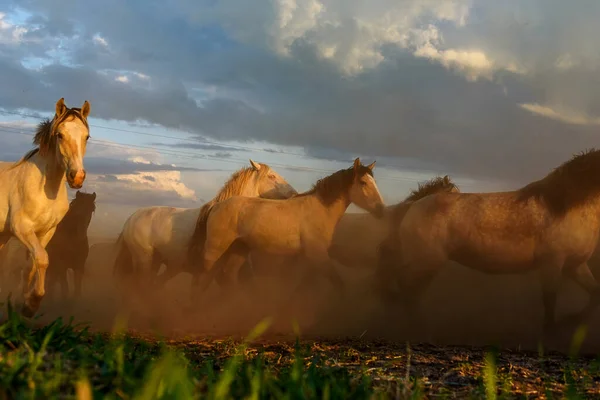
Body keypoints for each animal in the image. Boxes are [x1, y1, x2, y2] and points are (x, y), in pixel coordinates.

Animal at [0, 97, 91, 316]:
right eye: (60, 135)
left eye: (87, 137)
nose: (77, 177)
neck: (45, 189)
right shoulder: (22, 229)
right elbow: (42, 259)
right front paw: (32, 303)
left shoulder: (46, 232)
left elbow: (31, 267)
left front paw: (24, 304)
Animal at [190, 156, 386, 304]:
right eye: (363, 182)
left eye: (374, 182)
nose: (381, 209)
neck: (320, 209)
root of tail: (216, 205)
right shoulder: (318, 256)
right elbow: (338, 283)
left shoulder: (309, 260)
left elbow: (303, 287)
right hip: (214, 250)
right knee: (201, 278)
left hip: (240, 250)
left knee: (228, 276)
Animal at [380, 148, 600, 336]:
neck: (565, 206)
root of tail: (413, 205)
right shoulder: (552, 263)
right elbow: (550, 300)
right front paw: (552, 330)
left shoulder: (575, 265)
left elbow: (594, 294)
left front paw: (572, 321)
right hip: (426, 263)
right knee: (407, 288)